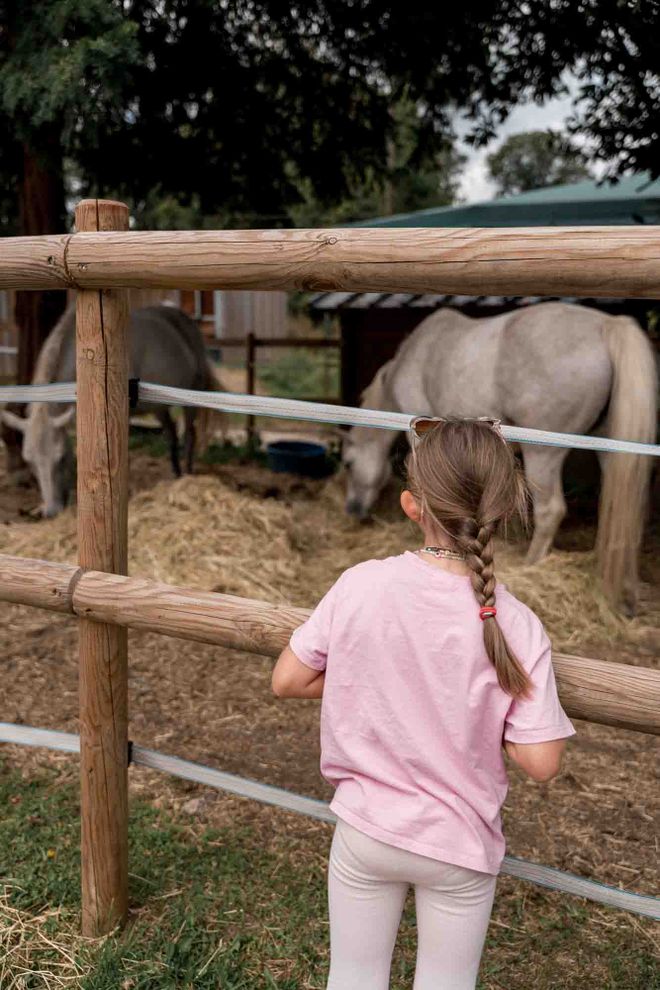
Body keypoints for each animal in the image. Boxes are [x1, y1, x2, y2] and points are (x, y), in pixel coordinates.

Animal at [1, 304, 220, 520]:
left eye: (61, 457)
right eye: (29, 461)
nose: (52, 511)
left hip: (191, 396)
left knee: (190, 434)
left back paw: (188, 475)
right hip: (159, 408)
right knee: (172, 434)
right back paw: (175, 476)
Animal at [342, 300, 656, 612]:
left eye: (348, 463)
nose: (353, 510)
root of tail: (606, 325)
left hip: (543, 453)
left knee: (550, 510)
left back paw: (531, 565)